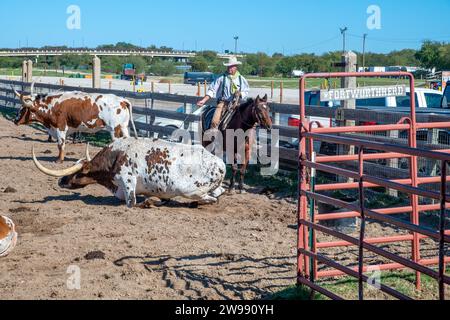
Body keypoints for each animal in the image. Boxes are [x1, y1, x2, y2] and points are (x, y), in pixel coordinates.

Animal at [31, 138, 227, 208]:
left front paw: (151, 201)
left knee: (211, 198)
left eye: (77, 173)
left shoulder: (128, 183)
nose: (61, 180)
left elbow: (132, 203)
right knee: (219, 193)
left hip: (188, 190)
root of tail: (220, 164)